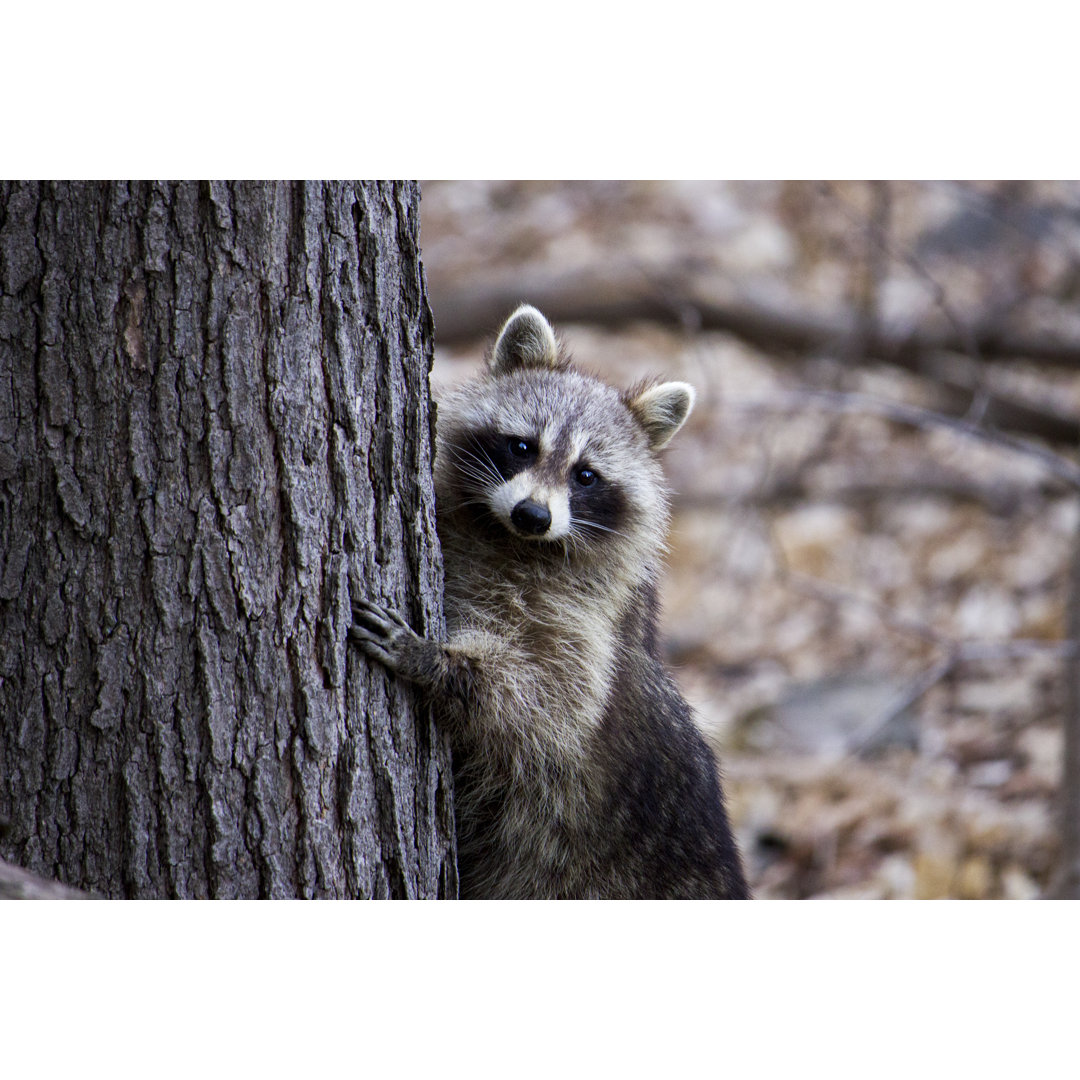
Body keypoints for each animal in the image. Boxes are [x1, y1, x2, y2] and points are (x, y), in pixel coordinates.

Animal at [349, 306, 747, 902]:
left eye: (585, 475)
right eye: (523, 447)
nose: (533, 515)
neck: (511, 541)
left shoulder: (589, 625)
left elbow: (546, 702)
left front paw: (439, 663)